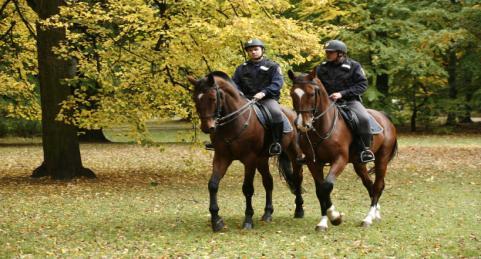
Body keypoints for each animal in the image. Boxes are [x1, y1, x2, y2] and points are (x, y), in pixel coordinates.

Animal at [188, 71, 304, 234]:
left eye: (212, 98)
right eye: (195, 99)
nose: (207, 127)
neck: (234, 122)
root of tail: (293, 114)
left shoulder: (249, 160)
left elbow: (247, 189)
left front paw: (248, 220)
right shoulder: (221, 157)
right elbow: (213, 184)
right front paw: (216, 220)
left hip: (294, 155)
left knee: (297, 178)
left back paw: (299, 209)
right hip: (262, 160)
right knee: (269, 182)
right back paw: (268, 213)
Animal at [286, 69, 396, 232]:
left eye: (311, 94)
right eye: (292, 94)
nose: (302, 124)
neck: (322, 127)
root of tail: (384, 117)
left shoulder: (340, 160)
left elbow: (327, 186)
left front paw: (335, 217)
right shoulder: (314, 163)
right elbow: (320, 190)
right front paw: (323, 221)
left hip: (382, 159)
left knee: (377, 186)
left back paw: (368, 218)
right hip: (358, 163)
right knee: (369, 184)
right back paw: (376, 213)